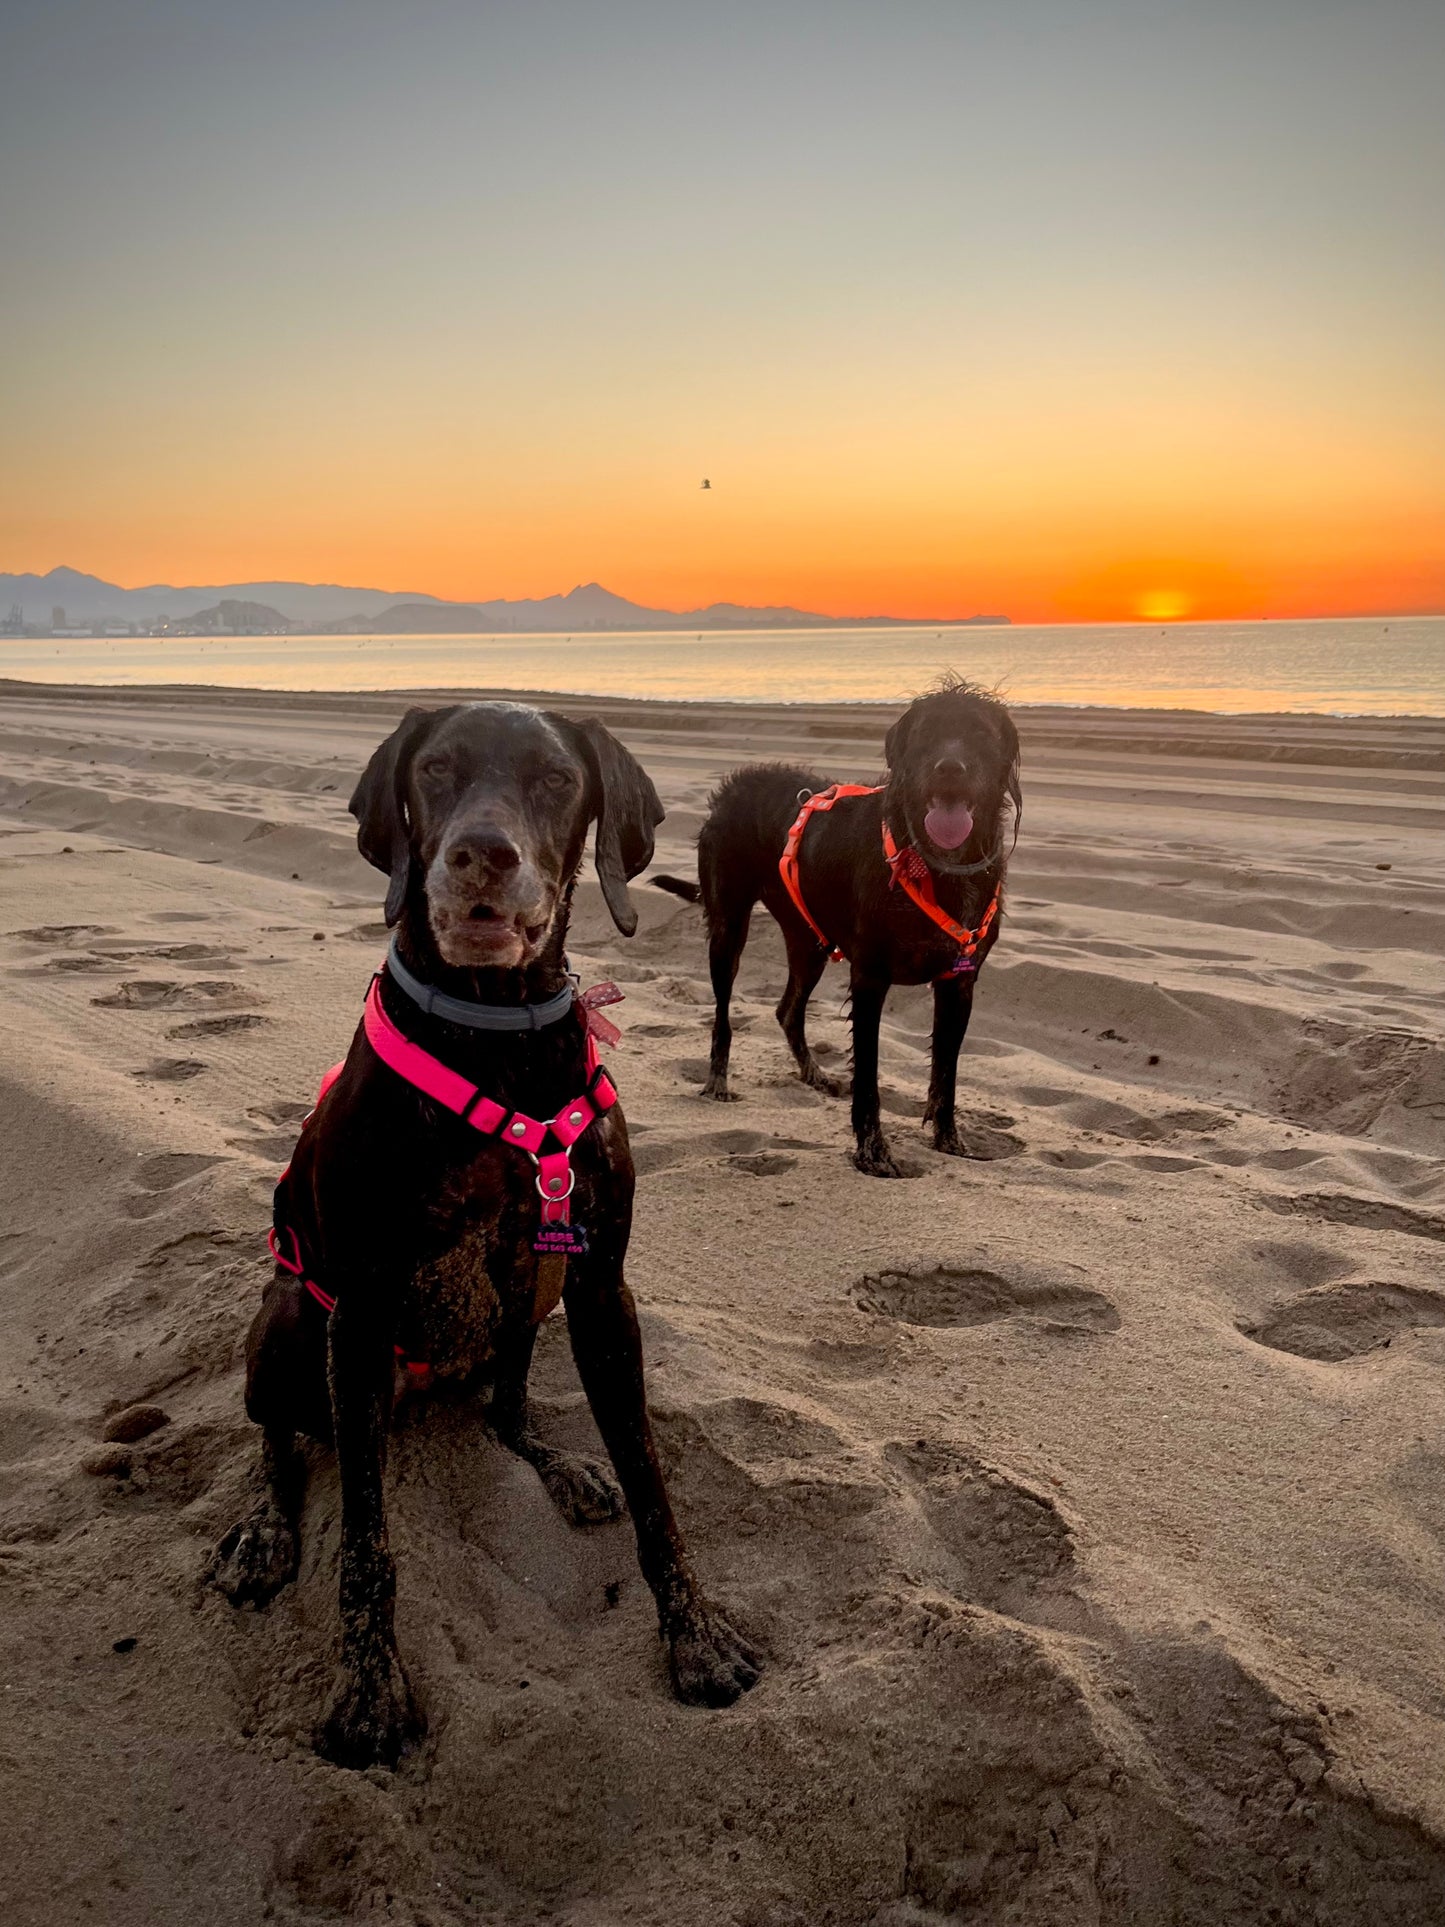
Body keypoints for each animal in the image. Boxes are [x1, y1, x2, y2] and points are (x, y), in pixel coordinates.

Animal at [213, 701, 762, 1765]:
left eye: (556, 779)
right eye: (435, 770)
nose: (480, 855)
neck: (495, 1037)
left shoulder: (599, 1290)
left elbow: (653, 1485)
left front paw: (696, 1634)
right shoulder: (359, 1306)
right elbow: (367, 1543)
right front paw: (368, 1691)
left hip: (527, 1310)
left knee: (504, 1412)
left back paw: (558, 1463)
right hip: (293, 1316)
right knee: (282, 1437)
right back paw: (265, 1529)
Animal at [655, 686, 1017, 1179]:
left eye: (980, 734)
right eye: (926, 735)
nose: (949, 769)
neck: (935, 862)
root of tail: (733, 788)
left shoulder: (959, 983)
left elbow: (946, 1073)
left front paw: (950, 1141)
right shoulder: (870, 979)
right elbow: (868, 1076)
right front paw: (873, 1152)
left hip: (808, 940)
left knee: (787, 1010)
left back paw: (814, 1074)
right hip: (729, 927)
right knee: (724, 1017)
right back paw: (718, 1080)